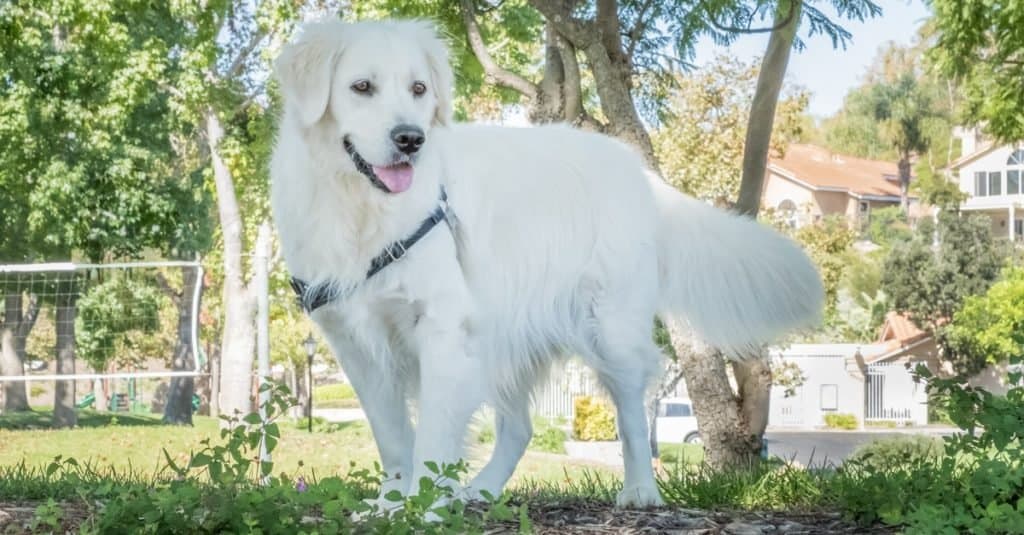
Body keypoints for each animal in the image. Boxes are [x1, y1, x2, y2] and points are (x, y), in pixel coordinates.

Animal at [268, 17, 819, 508]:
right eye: (362, 87)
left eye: (419, 89)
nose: (411, 139)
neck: (360, 207)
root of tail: (632, 167)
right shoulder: (356, 346)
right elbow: (393, 438)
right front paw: (390, 505)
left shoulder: (443, 327)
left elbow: (432, 438)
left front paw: (421, 508)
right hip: (504, 335)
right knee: (520, 427)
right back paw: (482, 491)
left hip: (609, 331)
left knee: (631, 415)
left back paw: (641, 491)